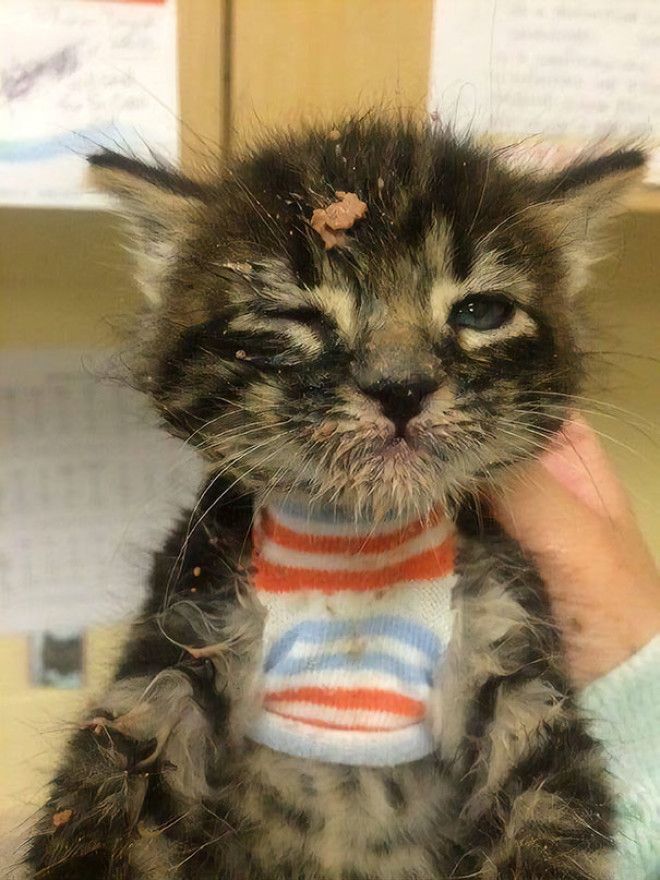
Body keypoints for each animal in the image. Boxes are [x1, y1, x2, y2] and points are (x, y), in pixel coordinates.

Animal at [25, 117, 644, 880]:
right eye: (295, 315)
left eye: (481, 311)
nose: (402, 386)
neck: (358, 549)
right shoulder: (177, 646)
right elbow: (103, 802)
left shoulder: (524, 676)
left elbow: (551, 825)